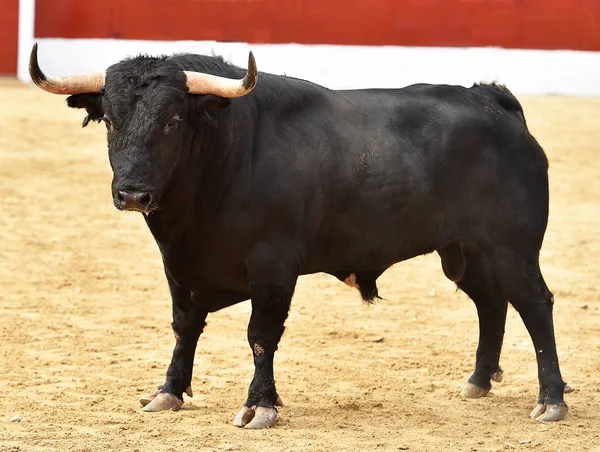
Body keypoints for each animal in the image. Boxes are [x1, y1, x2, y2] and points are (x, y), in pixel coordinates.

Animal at [31, 44, 568, 426]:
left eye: (174, 120)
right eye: (110, 119)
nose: (133, 194)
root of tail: (491, 100)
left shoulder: (273, 267)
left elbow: (260, 335)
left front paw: (260, 405)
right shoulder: (179, 265)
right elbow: (185, 327)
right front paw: (168, 392)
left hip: (513, 247)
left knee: (534, 304)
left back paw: (551, 400)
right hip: (464, 249)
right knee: (490, 303)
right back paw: (478, 380)